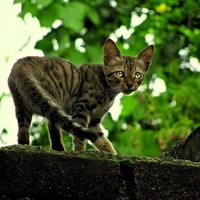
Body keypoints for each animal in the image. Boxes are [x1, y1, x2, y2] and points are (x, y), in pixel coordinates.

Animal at [7, 38, 154, 155]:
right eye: (120, 74)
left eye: (137, 75)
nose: (130, 85)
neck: (108, 92)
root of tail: (22, 62)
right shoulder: (81, 109)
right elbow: (80, 139)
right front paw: (79, 152)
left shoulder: (94, 122)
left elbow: (102, 140)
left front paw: (111, 153)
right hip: (53, 99)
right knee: (52, 125)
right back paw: (59, 149)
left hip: (22, 105)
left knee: (23, 130)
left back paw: (27, 146)